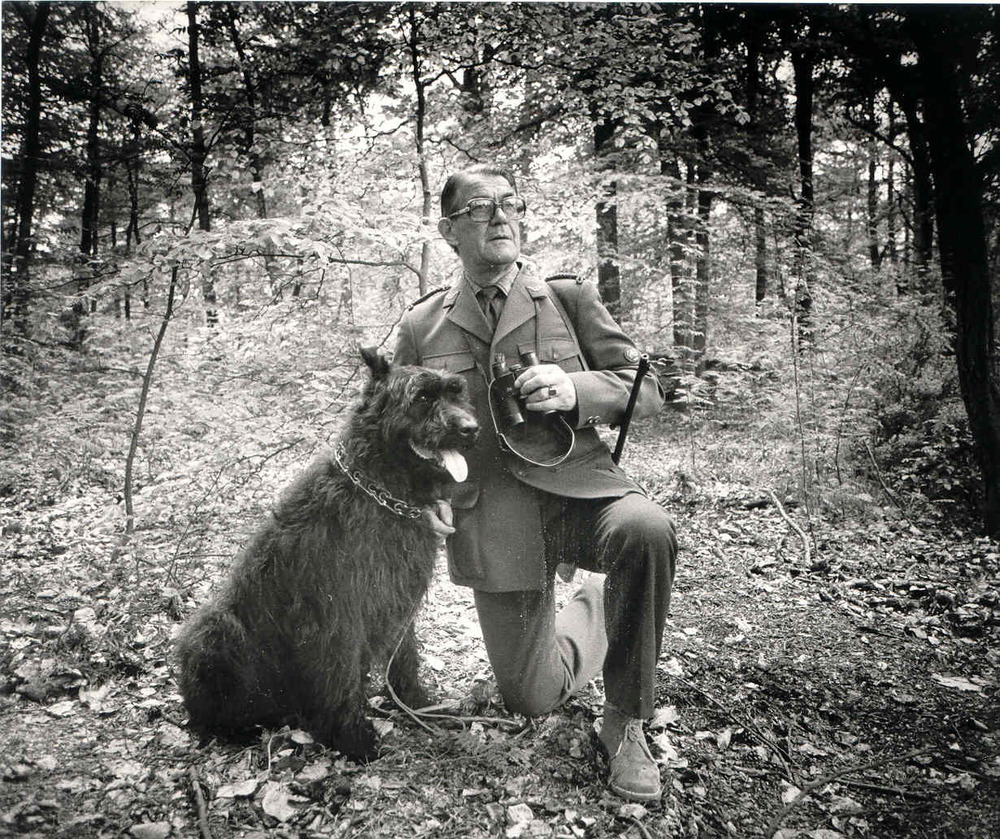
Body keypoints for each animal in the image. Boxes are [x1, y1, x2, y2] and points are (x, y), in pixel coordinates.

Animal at [173, 347, 478, 759]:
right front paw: (354, 739)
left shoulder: (399, 599)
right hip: (213, 632)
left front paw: (416, 704)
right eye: (422, 397)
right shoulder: (336, 612)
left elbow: (404, 657)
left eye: (455, 392)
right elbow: (341, 673)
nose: (471, 428)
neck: (381, 490)